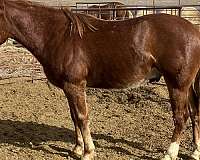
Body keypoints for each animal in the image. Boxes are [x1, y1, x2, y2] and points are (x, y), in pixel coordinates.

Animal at [1, 0, 200, 160]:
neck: (58, 36)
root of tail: (194, 30)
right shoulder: (68, 88)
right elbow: (74, 117)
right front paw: (77, 148)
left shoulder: (75, 85)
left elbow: (82, 117)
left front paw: (88, 152)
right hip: (187, 86)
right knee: (194, 113)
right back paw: (195, 152)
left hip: (177, 84)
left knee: (181, 117)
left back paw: (169, 154)